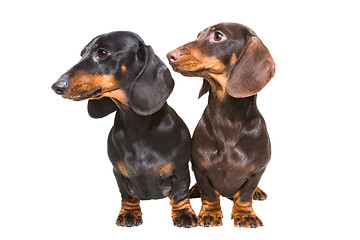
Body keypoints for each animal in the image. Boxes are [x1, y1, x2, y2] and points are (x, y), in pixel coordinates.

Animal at [51, 31, 198, 228]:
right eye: (81, 53)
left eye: (102, 53)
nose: (56, 86)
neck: (137, 126)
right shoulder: (118, 173)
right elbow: (127, 195)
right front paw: (129, 213)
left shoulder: (181, 170)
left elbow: (179, 194)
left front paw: (184, 214)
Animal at [167, 22, 276, 227]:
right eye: (198, 35)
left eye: (218, 36)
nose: (170, 55)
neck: (229, 122)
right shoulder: (200, 168)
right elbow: (209, 194)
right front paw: (210, 213)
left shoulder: (257, 171)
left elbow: (245, 194)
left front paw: (245, 214)